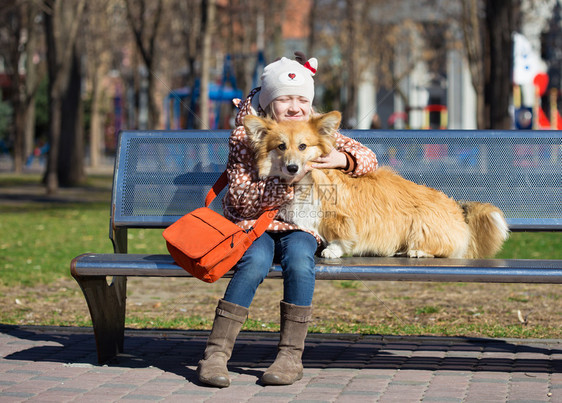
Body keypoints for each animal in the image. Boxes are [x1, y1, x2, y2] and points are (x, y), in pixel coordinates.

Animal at [242, 110, 508, 258]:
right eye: (281, 146)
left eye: (303, 146)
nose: (292, 168)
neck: (305, 183)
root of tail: (458, 210)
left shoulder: (341, 218)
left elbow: (342, 235)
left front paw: (333, 250)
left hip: (421, 225)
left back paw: (416, 251)